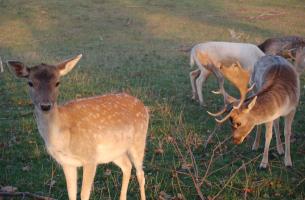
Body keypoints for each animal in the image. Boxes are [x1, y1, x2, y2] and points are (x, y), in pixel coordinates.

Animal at [7, 54, 148, 200]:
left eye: (57, 82)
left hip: (139, 140)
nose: (45, 106)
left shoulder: (91, 157)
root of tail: (143, 106)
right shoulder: (66, 162)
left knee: (141, 174)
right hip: (114, 151)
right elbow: (71, 193)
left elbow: (84, 194)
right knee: (127, 166)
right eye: (30, 83)